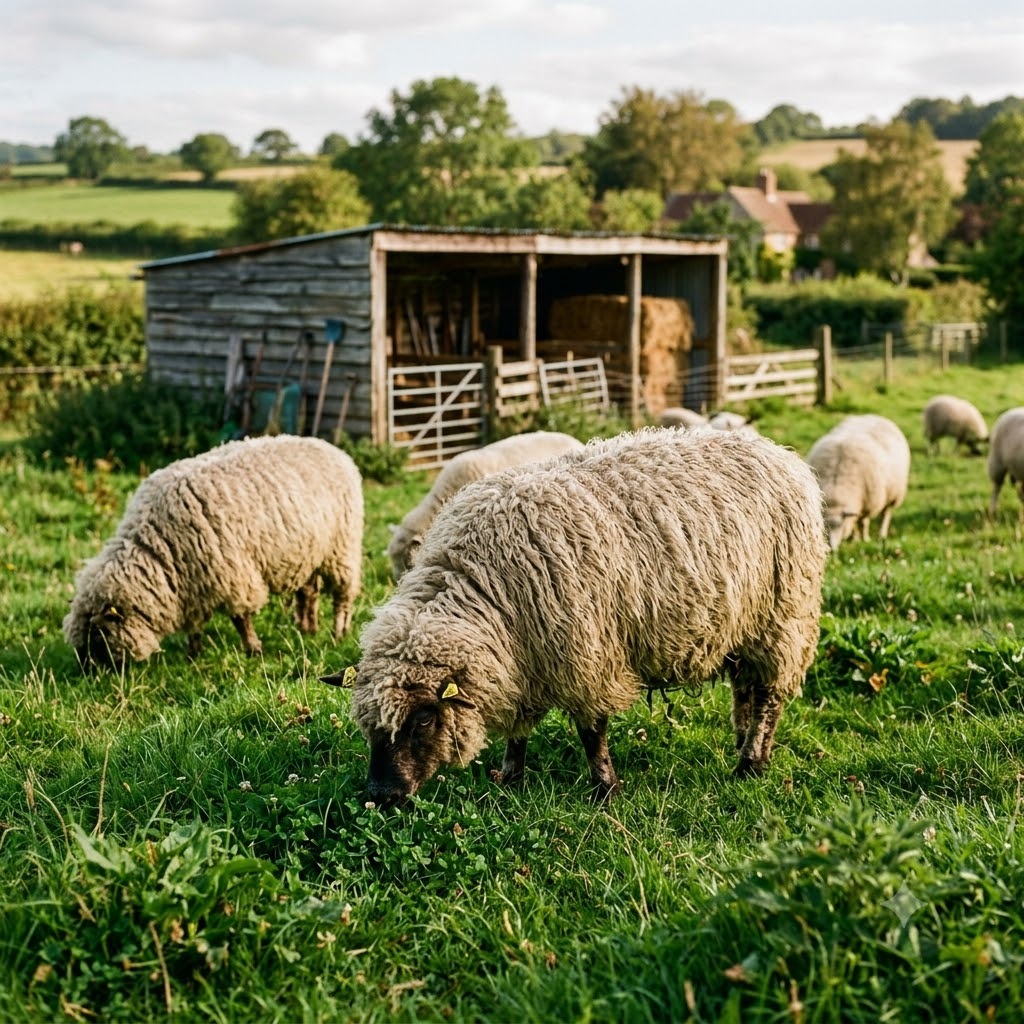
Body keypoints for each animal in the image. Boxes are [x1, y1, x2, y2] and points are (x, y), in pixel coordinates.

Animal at [64, 434, 363, 668]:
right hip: (308, 551)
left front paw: (253, 649)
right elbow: (194, 625)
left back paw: (338, 631)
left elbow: (240, 618)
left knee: (343, 595)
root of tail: (329, 447)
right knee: (309, 591)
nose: (89, 675)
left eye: (98, 635)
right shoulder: (192, 584)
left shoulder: (233, 574)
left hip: (341, 548)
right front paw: (193, 654)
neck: (157, 548)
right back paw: (307, 628)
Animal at [805, 414, 911, 551]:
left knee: (885, 514)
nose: (831, 548)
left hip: (893, 495)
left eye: (839, 525)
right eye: (823, 527)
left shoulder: (868, 504)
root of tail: (873, 415)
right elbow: (854, 525)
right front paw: (854, 539)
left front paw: (865, 539)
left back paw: (881, 534)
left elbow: (863, 523)